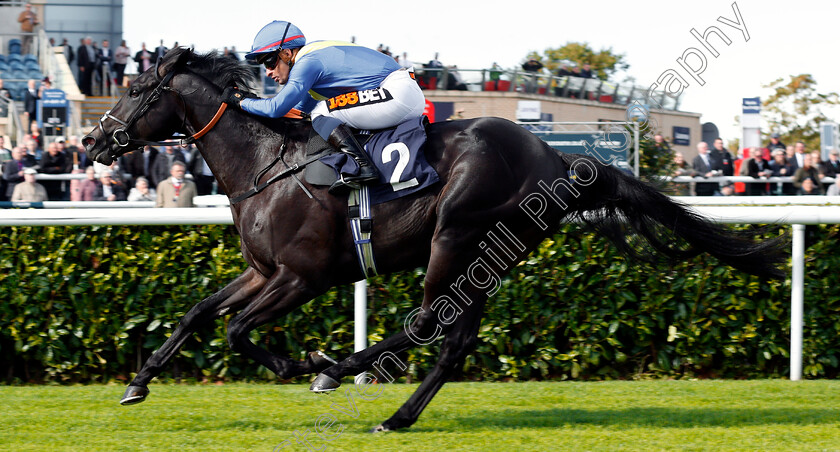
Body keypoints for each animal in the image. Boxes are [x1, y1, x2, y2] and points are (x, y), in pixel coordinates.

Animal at [82, 47, 784, 432]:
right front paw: (139, 381)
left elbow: (235, 330)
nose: (91, 141)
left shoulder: (301, 277)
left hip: (457, 232)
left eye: (137, 89)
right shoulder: (261, 271)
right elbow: (199, 312)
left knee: (426, 321)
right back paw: (397, 414)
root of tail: (558, 161)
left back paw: (337, 371)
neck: (265, 164)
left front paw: (298, 364)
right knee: (454, 339)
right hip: (489, 253)